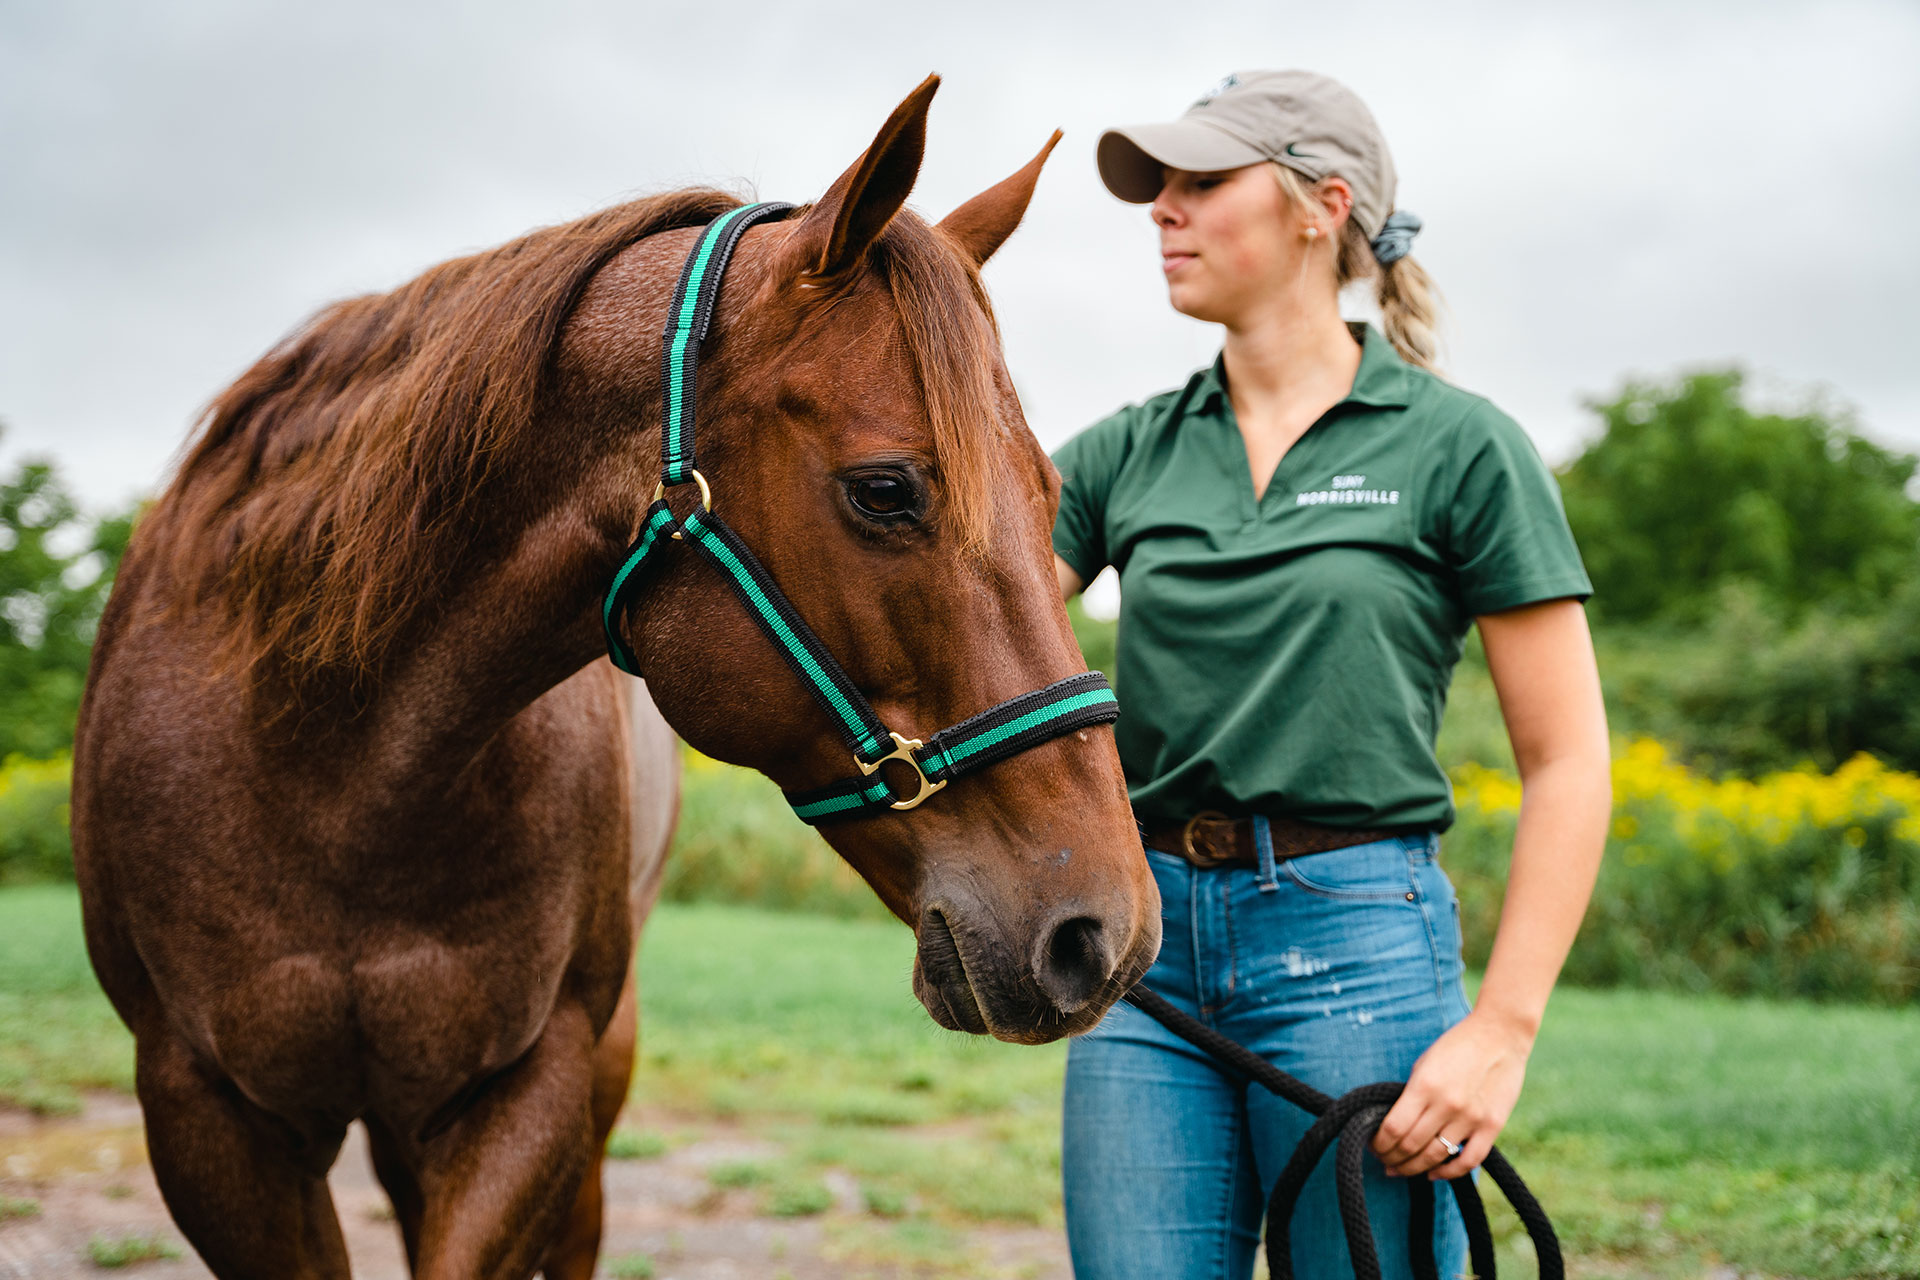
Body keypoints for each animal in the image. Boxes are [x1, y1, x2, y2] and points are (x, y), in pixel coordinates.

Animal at [71, 80, 1152, 1280]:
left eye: (1049, 489)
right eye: (885, 490)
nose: (1106, 933)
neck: (328, 766)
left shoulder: (529, 1088)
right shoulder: (206, 1112)